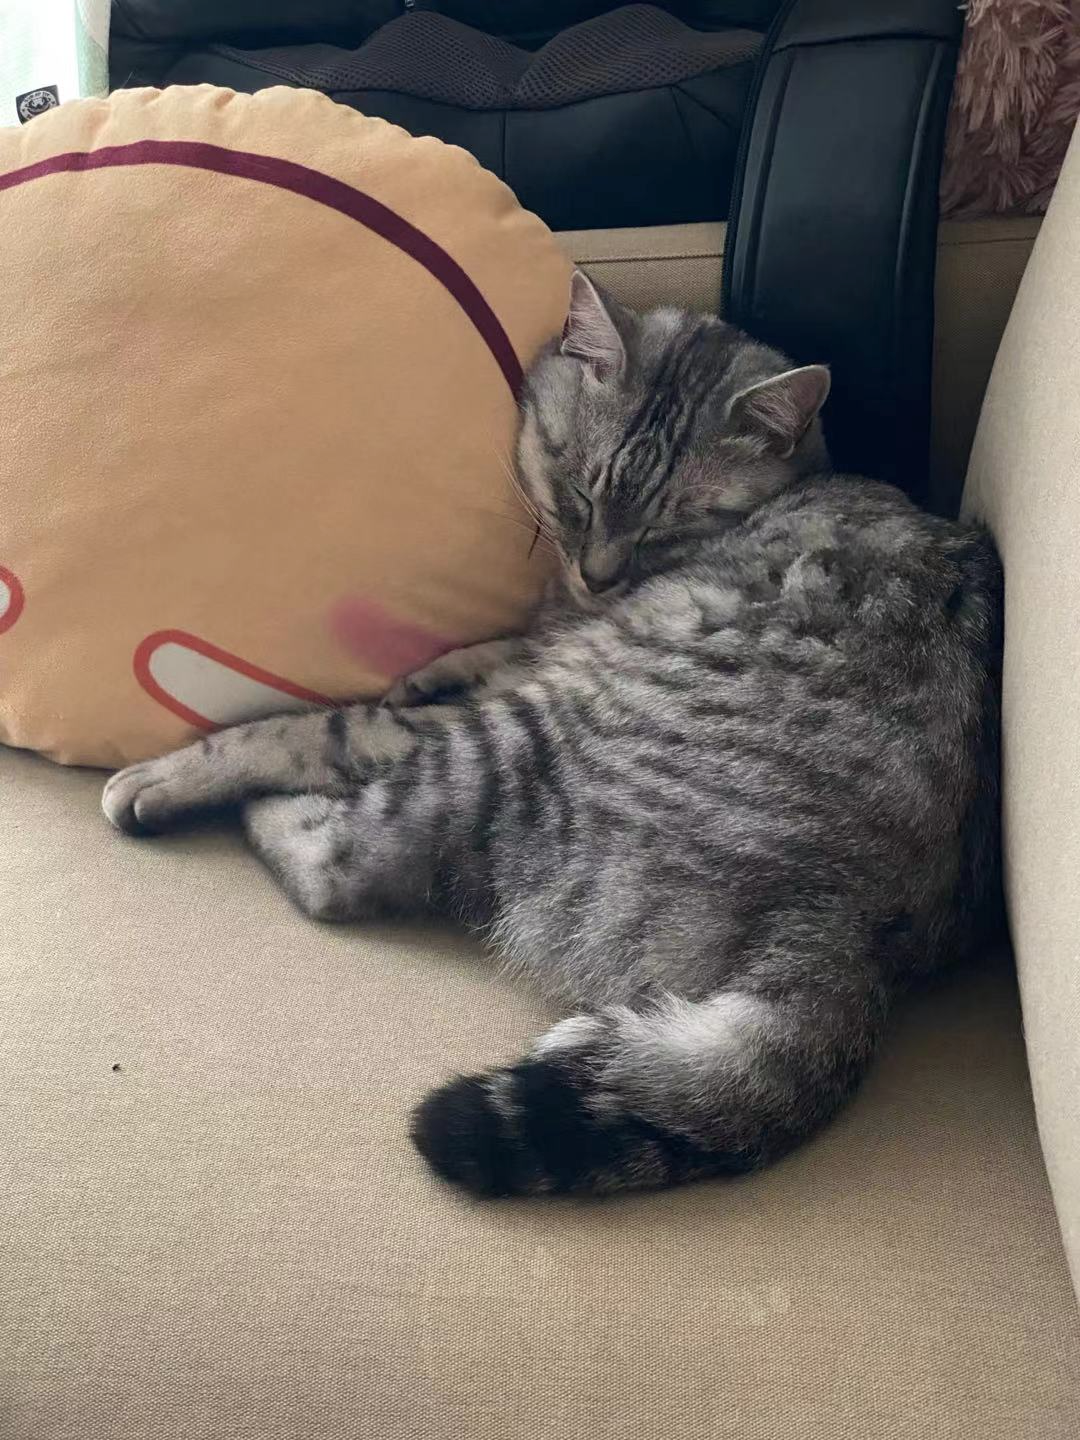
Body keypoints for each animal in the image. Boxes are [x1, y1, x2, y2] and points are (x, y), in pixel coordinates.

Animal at [102, 272, 1004, 1199]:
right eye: (578, 494)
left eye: (667, 528)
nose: (599, 574)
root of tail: (848, 935)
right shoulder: (550, 627)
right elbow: (500, 644)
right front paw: (445, 660)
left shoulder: (517, 685)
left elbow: (328, 727)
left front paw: (183, 769)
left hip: (522, 743)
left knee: (346, 863)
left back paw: (249, 807)